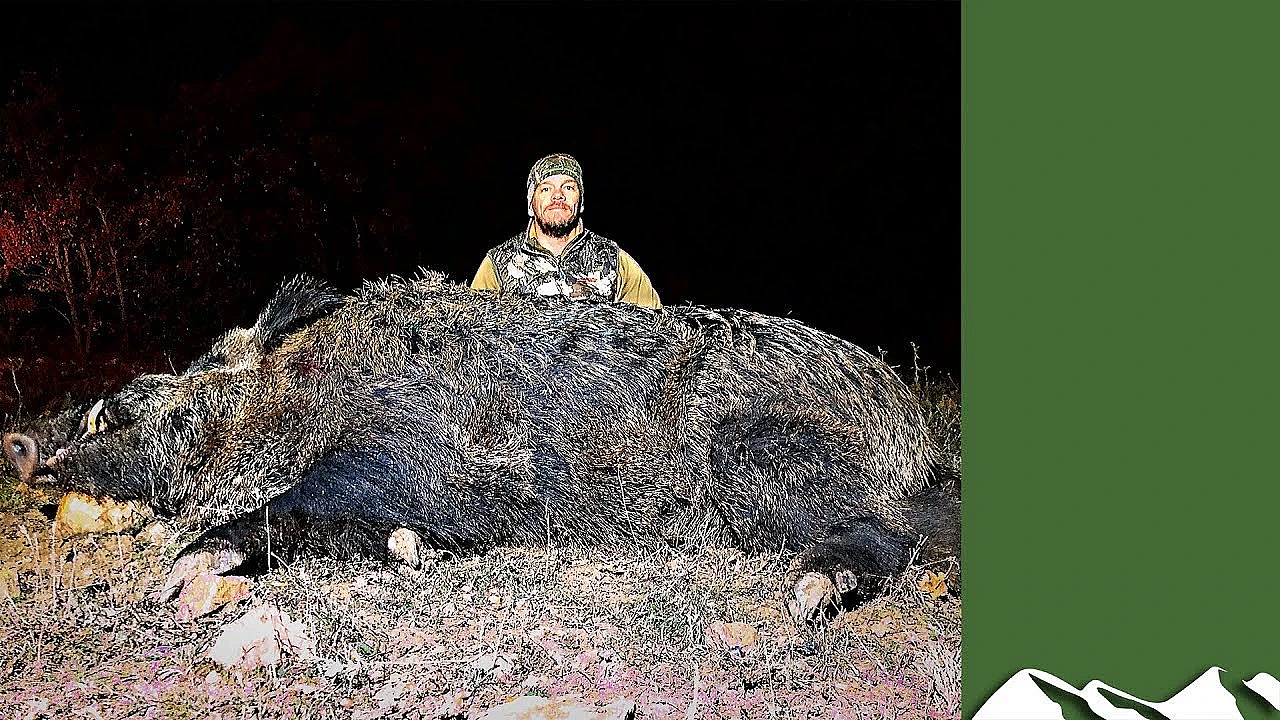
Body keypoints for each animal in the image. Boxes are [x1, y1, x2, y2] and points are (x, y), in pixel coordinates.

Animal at [5, 272, 959, 616]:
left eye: (122, 409)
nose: (19, 440)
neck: (303, 394)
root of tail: (910, 432)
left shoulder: (404, 451)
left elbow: (295, 500)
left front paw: (178, 578)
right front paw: (409, 552)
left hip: (760, 455)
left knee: (889, 534)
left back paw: (808, 592)